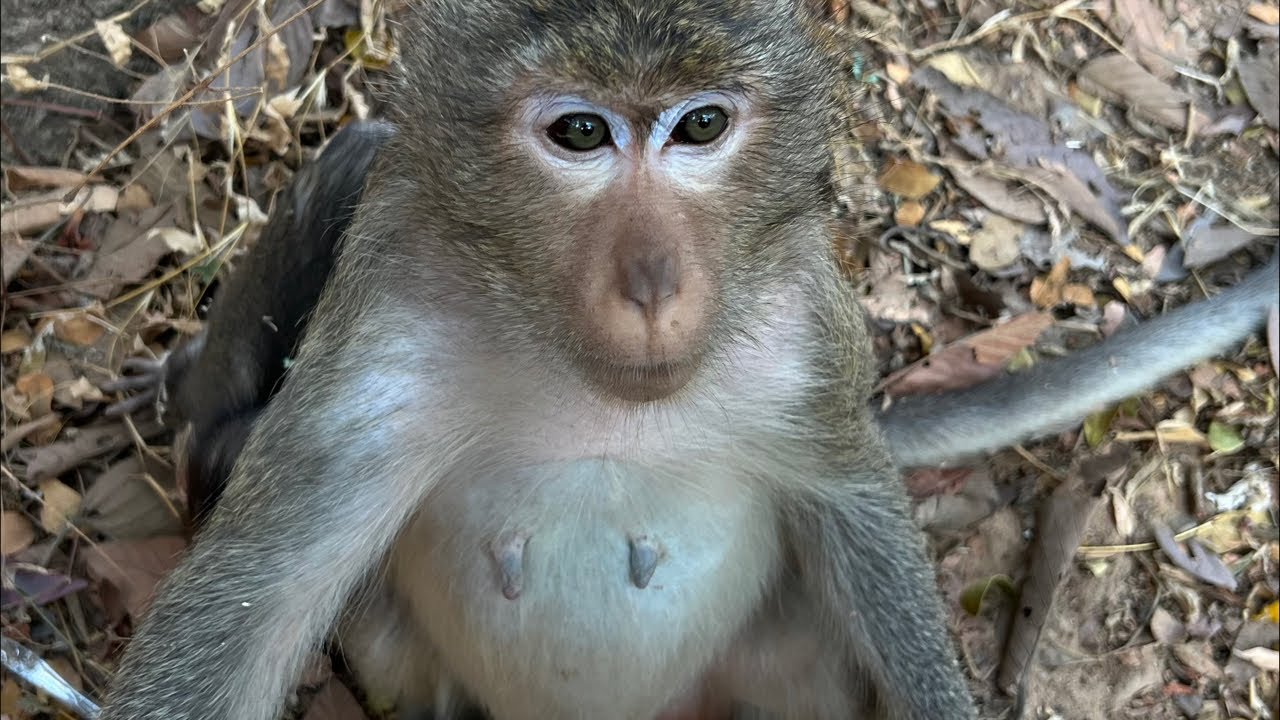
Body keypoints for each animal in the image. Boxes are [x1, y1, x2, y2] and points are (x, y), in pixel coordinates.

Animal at [94, 2, 1278, 720]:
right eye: (579, 133)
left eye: (701, 126)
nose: (655, 283)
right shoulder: (387, 339)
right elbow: (250, 600)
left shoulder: (804, 337)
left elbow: (858, 521)